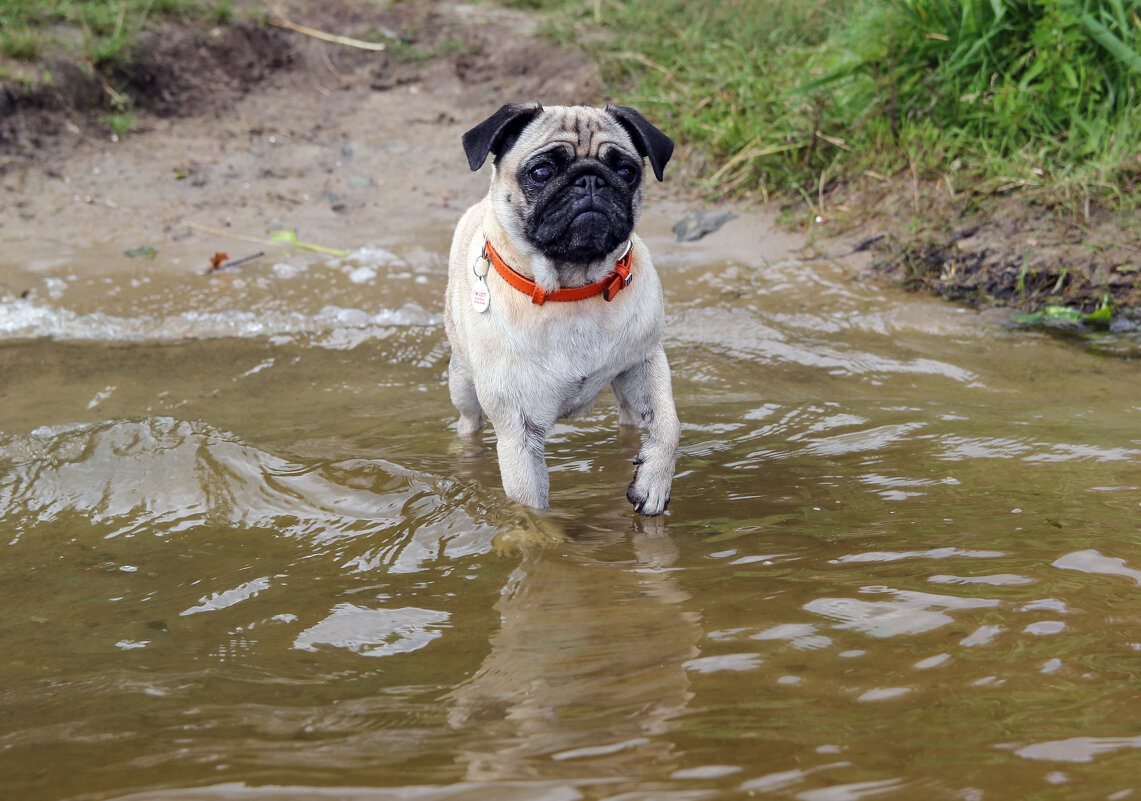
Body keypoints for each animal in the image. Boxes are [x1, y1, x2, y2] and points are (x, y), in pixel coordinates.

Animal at [442, 103, 675, 515]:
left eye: (626, 171)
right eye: (541, 172)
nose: (590, 180)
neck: (572, 291)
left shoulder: (645, 359)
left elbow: (669, 425)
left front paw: (653, 482)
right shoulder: (519, 435)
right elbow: (532, 511)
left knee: (631, 419)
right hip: (463, 386)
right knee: (468, 421)